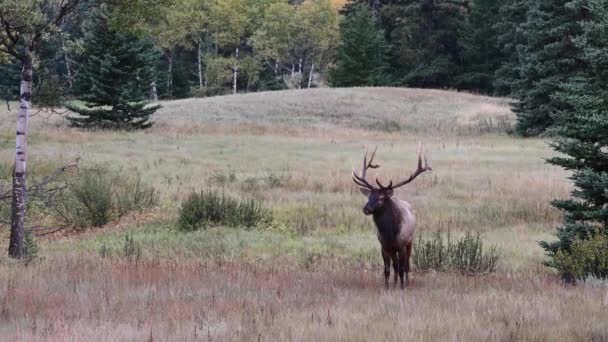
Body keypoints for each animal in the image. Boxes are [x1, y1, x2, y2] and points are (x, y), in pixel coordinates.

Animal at [352, 143, 432, 290]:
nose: (366, 209)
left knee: (406, 266)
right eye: (369, 197)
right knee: (395, 265)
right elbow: (387, 270)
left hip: (410, 241)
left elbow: (402, 268)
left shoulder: (401, 245)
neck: (390, 233)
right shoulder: (384, 246)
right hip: (393, 249)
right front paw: (387, 287)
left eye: (381, 198)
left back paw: (406, 283)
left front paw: (402, 287)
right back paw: (395, 283)